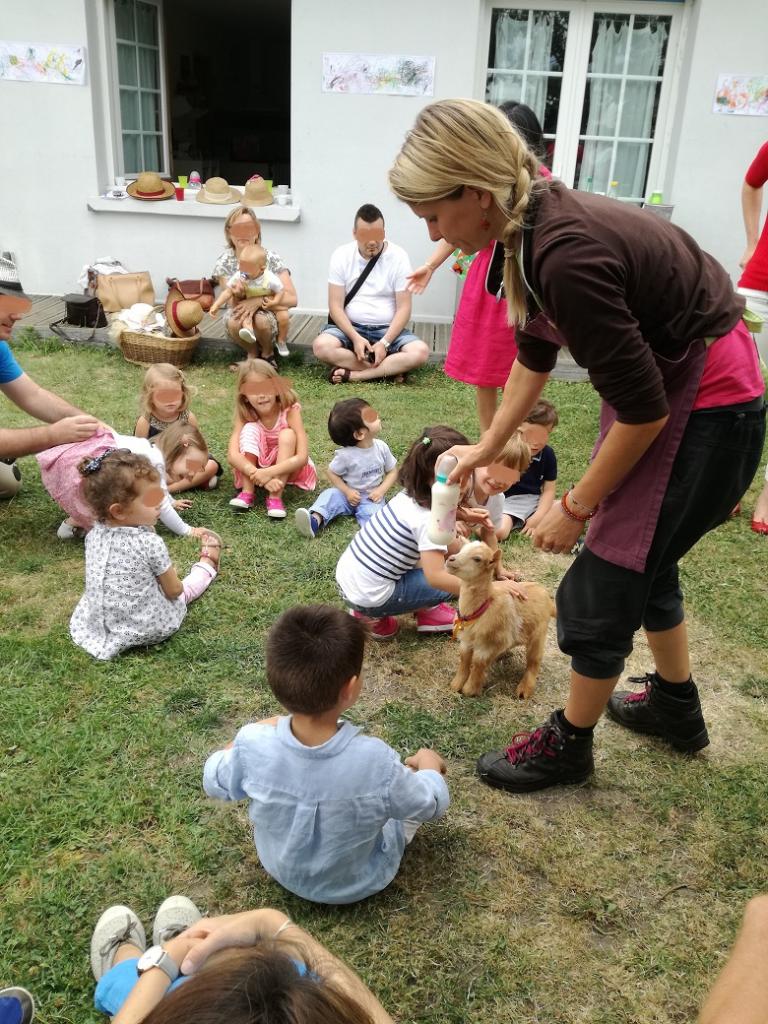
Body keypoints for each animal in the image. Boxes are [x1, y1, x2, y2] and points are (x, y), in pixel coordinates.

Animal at [444, 540, 552, 700]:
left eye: (477, 559)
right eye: (461, 550)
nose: (450, 559)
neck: (483, 606)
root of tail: (547, 596)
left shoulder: (488, 644)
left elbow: (478, 663)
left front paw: (470, 690)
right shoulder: (466, 640)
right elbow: (464, 659)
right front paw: (456, 685)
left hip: (538, 634)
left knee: (534, 661)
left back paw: (524, 690)